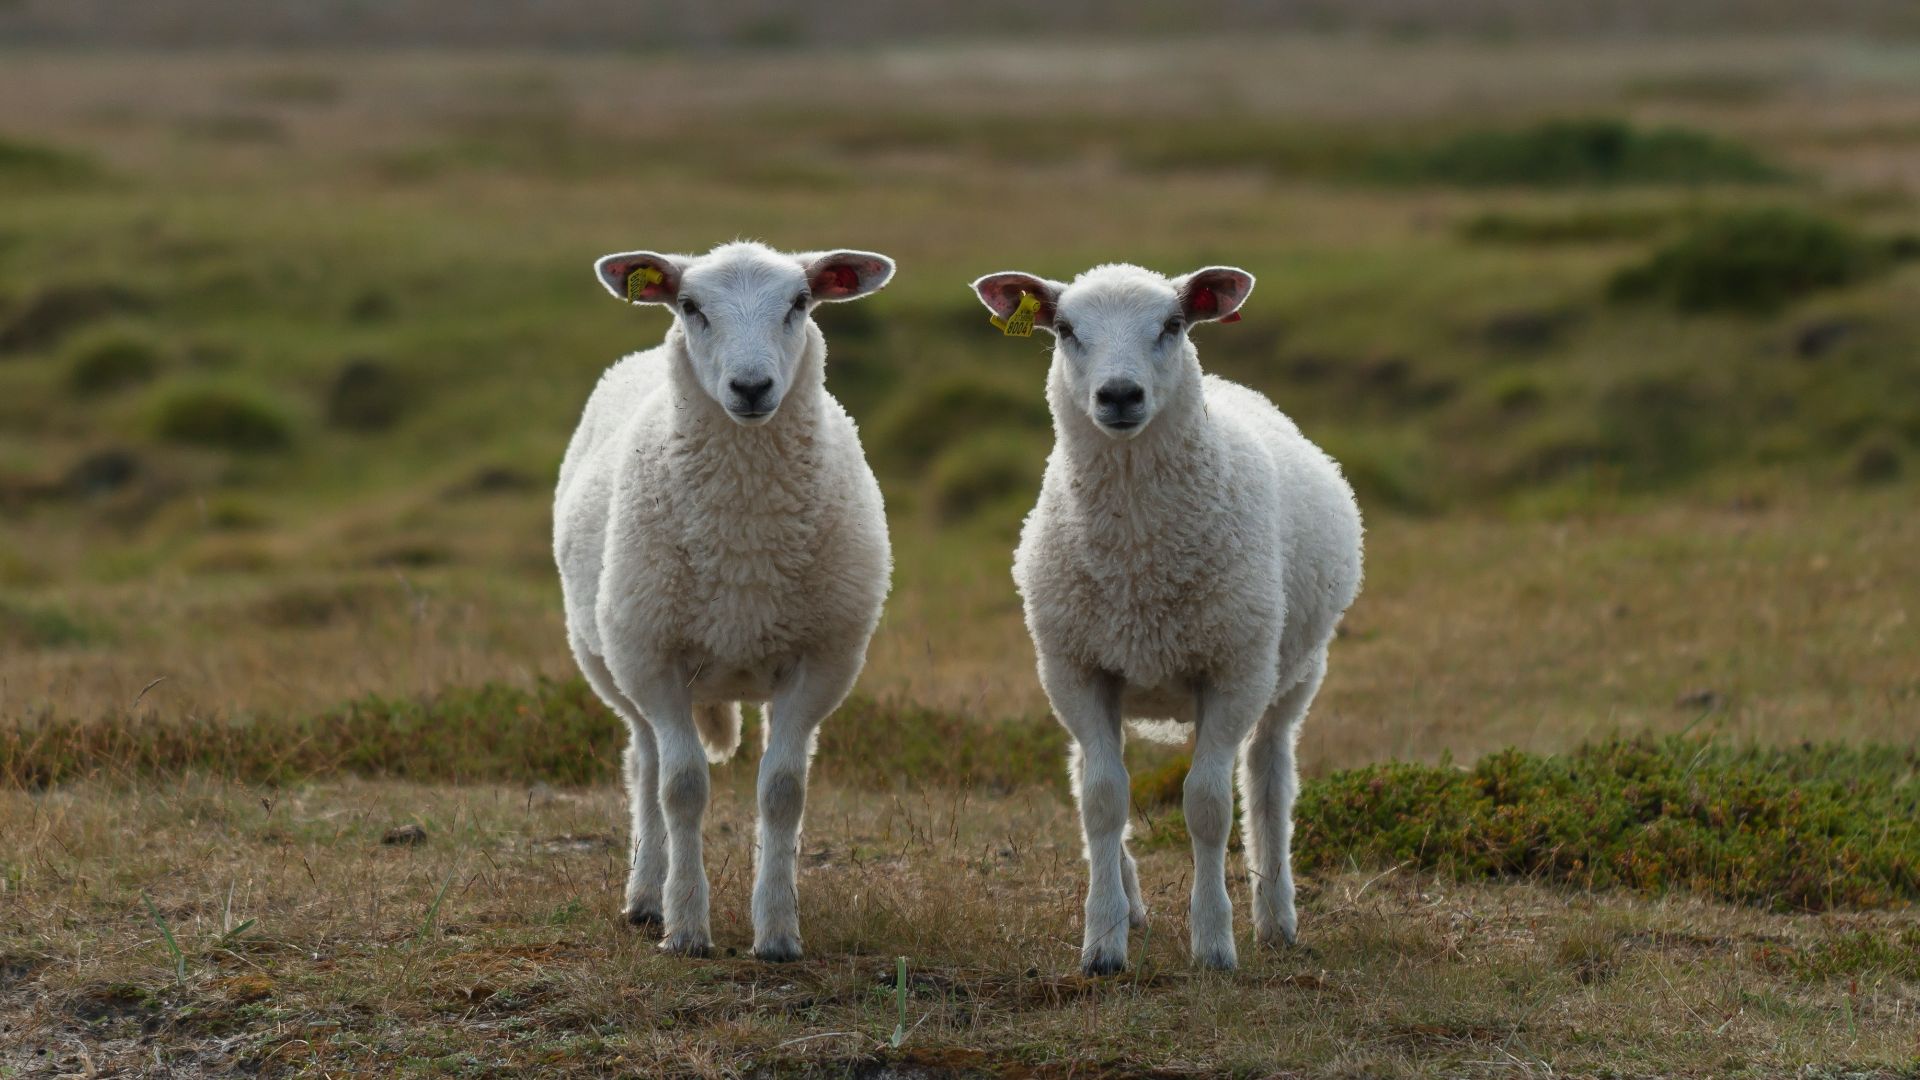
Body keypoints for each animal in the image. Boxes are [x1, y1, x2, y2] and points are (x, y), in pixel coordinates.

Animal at [555, 240, 895, 961]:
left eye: (800, 302)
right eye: (690, 306)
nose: (751, 387)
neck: (745, 536)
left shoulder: (821, 663)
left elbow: (783, 792)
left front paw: (778, 930)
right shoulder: (655, 661)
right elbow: (682, 789)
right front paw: (686, 926)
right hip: (614, 660)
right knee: (645, 765)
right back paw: (646, 895)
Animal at [971, 262, 1363, 974]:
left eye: (1174, 324)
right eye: (1065, 329)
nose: (1119, 395)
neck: (1139, 559)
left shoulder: (1233, 672)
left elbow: (1208, 806)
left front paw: (1213, 942)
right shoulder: (1076, 670)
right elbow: (1103, 800)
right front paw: (1103, 941)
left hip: (1293, 673)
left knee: (1268, 780)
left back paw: (1276, 916)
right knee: (1088, 775)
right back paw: (1131, 903)